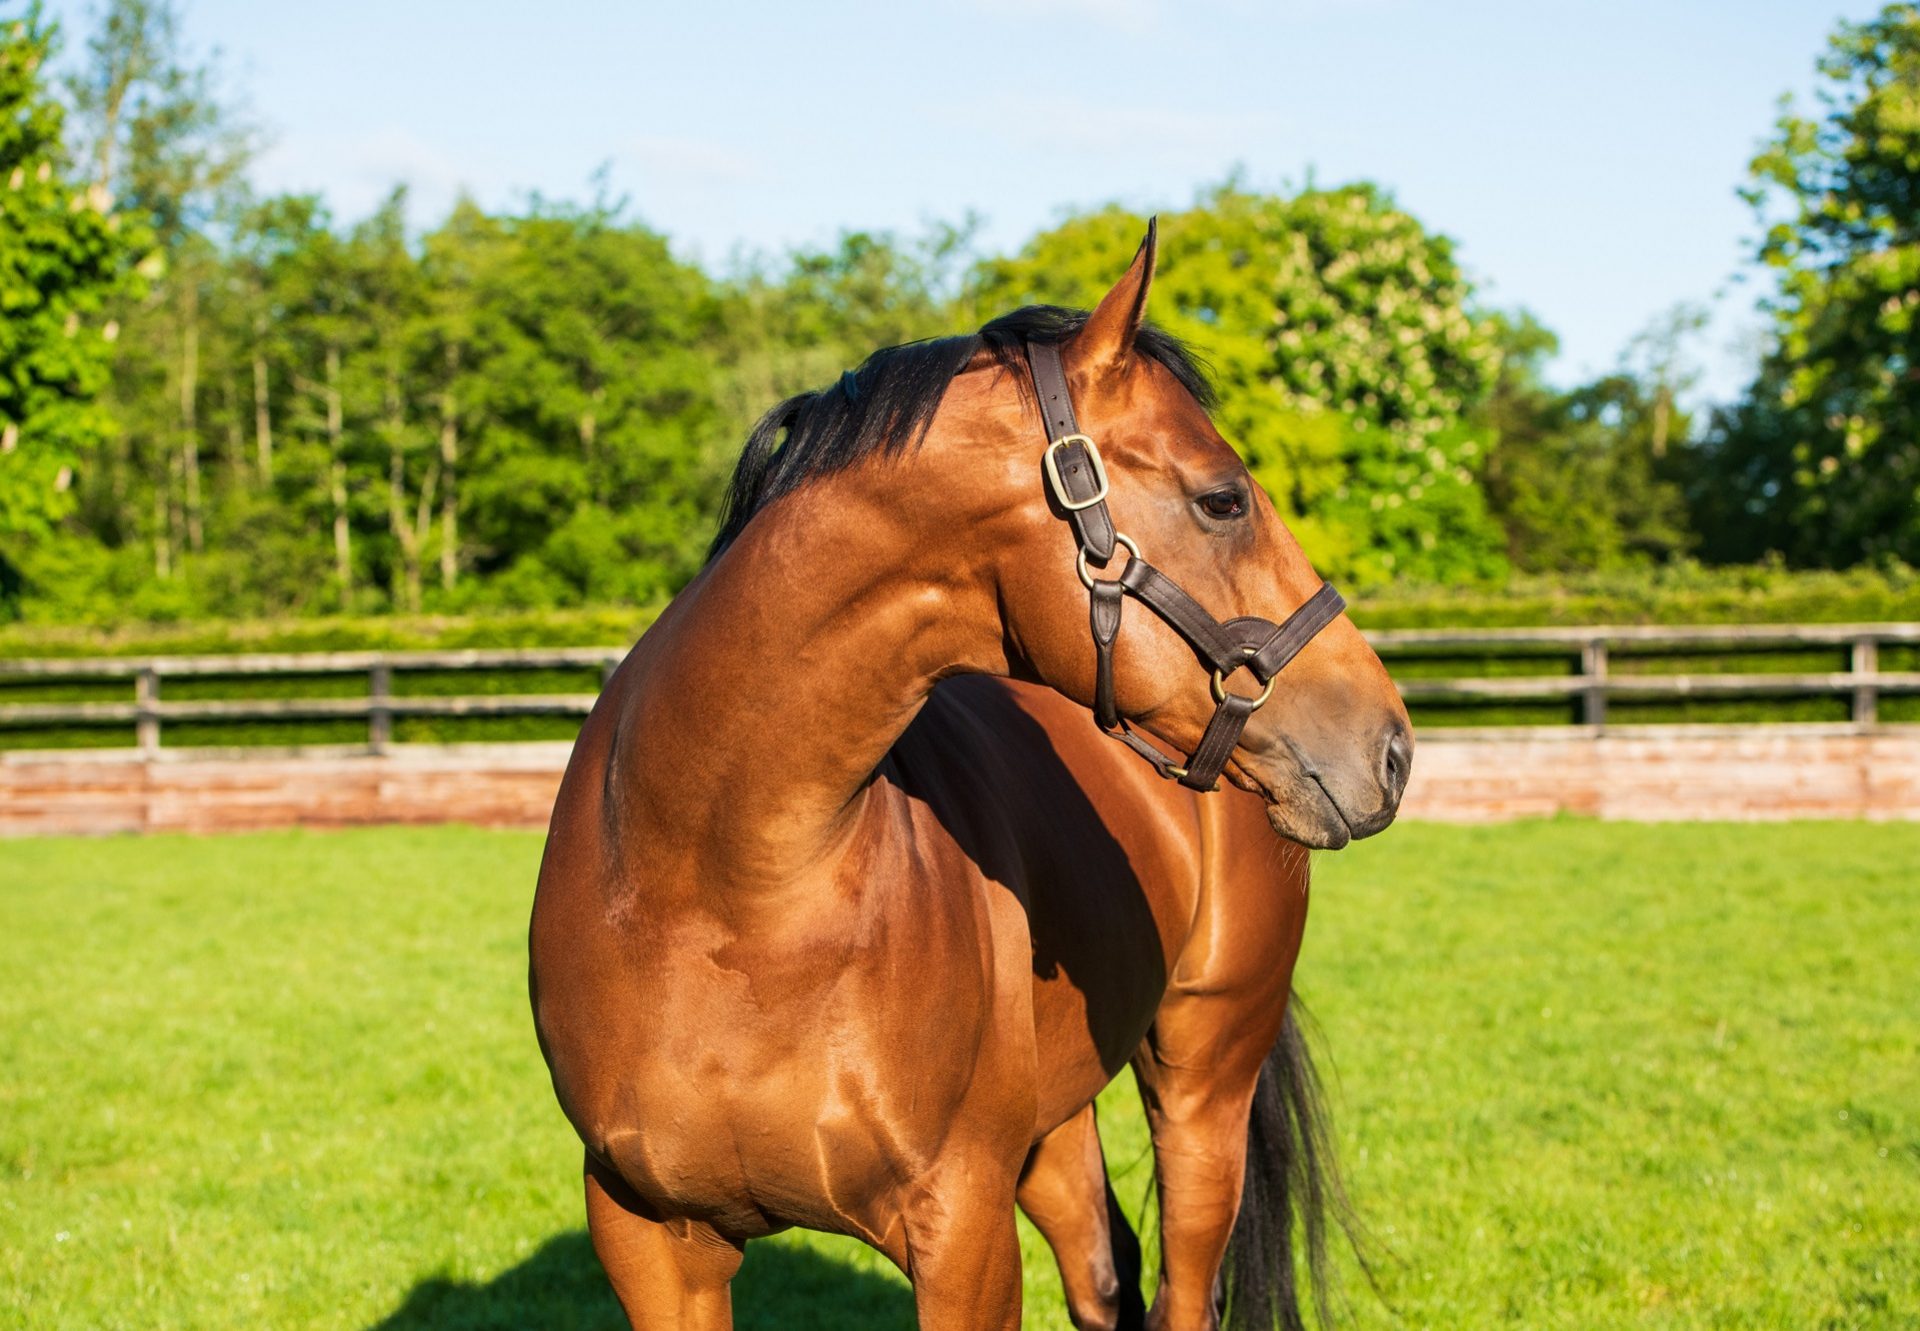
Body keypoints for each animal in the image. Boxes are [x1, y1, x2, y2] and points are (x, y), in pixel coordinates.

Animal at [529, 222, 1413, 1321]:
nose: (1391, 744)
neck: (723, 892)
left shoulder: (962, 1227)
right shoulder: (651, 1237)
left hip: (1204, 1079)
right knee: (1104, 1269)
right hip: (1057, 1124)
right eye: (1223, 498)